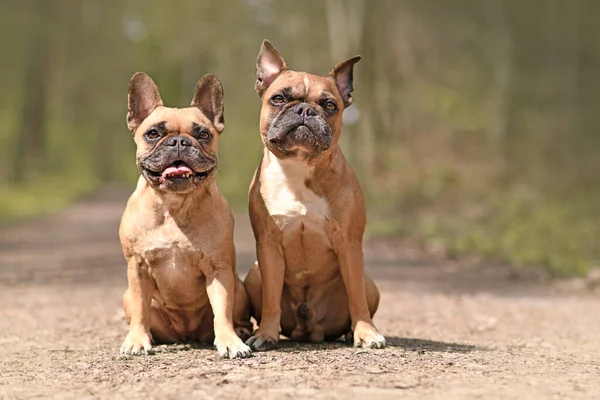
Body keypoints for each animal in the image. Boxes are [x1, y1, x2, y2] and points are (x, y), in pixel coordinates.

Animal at [120, 72, 252, 360]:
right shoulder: (137, 267)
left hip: (239, 288)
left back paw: (242, 331)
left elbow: (222, 310)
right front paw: (136, 340)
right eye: (153, 133)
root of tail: (186, 335)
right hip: (126, 295)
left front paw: (230, 341)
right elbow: (140, 308)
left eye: (203, 134)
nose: (179, 141)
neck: (173, 206)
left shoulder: (218, 269)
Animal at [243, 41, 384, 350]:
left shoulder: (349, 245)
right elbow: (271, 298)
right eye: (278, 99)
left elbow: (356, 297)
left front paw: (366, 333)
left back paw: (350, 332)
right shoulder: (268, 247)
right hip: (254, 274)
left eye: (330, 105)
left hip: (370, 283)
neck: (299, 167)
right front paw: (266, 334)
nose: (306, 110)